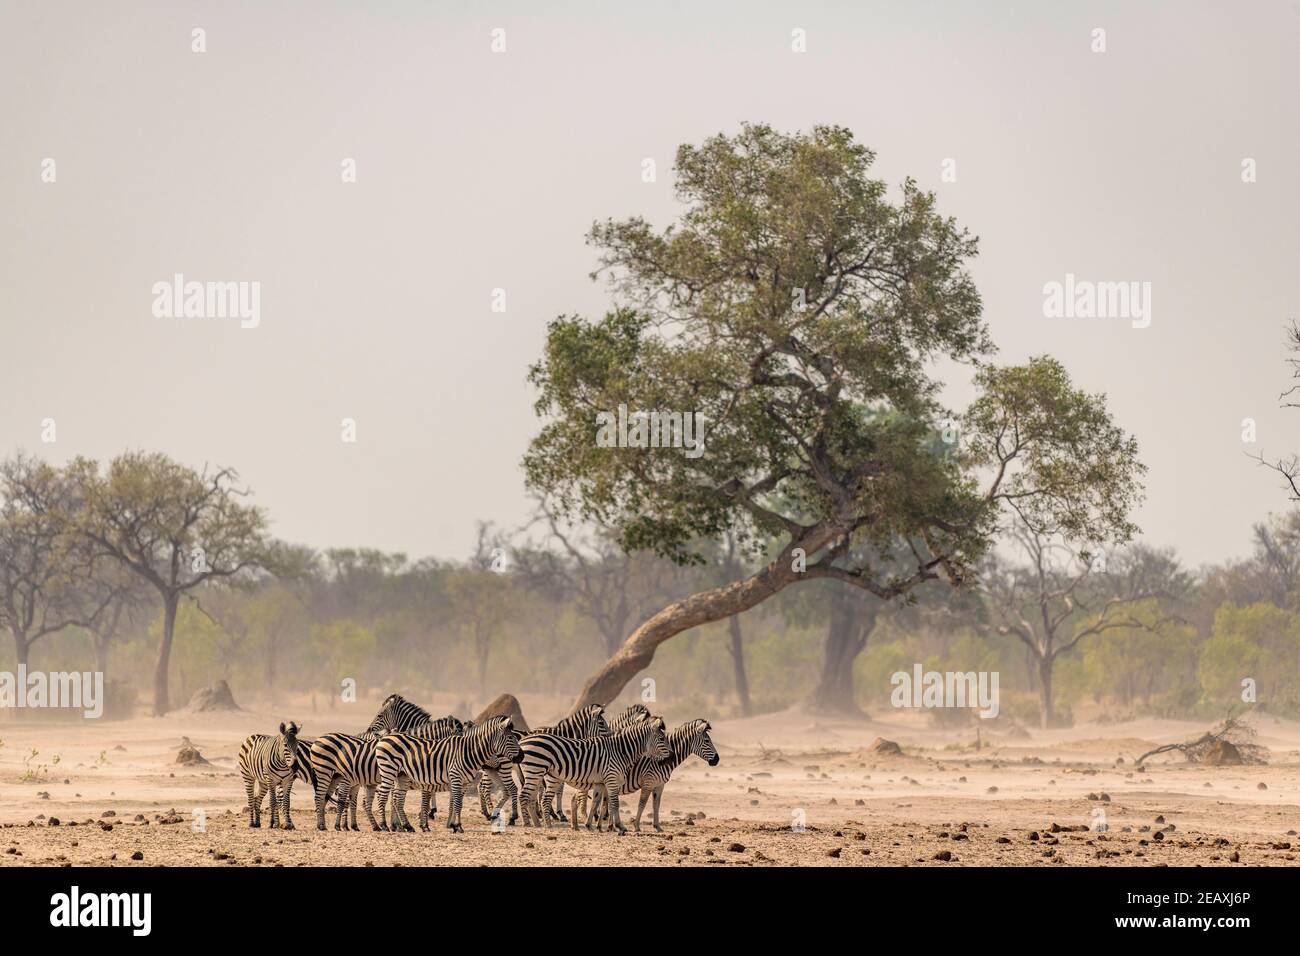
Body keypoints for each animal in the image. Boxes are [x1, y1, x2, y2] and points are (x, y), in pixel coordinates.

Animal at [375, 717, 522, 833]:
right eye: (510, 738)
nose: (521, 756)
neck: (467, 752)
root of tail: (386, 737)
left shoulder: (462, 783)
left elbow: (457, 803)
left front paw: (452, 825)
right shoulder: (455, 777)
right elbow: (455, 802)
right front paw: (456, 826)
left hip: (401, 775)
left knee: (397, 799)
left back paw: (407, 826)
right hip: (389, 771)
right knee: (383, 796)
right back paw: (384, 826)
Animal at [518, 716, 671, 834]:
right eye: (661, 738)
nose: (671, 756)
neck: (620, 750)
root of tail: (522, 740)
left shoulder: (600, 782)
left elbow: (596, 802)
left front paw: (590, 825)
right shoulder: (611, 778)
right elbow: (615, 803)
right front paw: (619, 827)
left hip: (546, 775)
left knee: (540, 798)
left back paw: (540, 824)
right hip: (535, 770)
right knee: (525, 796)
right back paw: (529, 824)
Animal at [585, 719, 719, 832]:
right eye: (707, 741)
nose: (717, 760)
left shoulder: (659, 785)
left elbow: (656, 805)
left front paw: (657, 826)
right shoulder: (648, 782)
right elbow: (642, 804)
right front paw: (637, 826)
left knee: (603, 802)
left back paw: (604, 827)